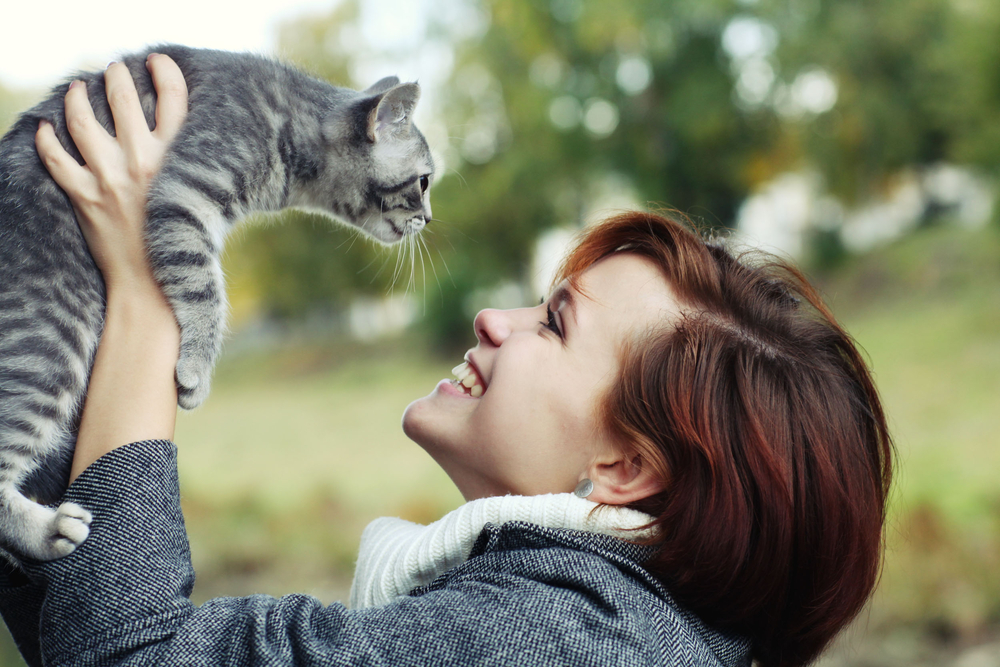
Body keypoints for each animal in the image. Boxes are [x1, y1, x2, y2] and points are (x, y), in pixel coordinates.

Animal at [0, 44, 434, 560]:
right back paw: (46, 531)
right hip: (51, 340)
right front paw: (197, 369)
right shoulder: (184, 194)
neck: (291, 130)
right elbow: (205, 288)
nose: (430, 219)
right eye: (425, 182)